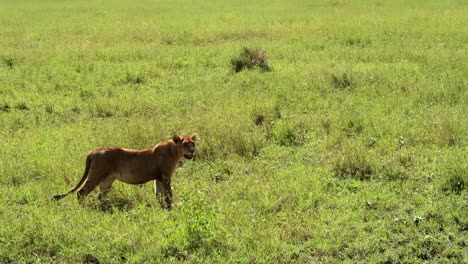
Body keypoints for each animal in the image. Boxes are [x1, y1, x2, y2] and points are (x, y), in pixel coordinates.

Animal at [53, 135, 196, 209]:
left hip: (107, 180)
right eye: (185, 144)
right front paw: (170, 207)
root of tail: (93, 151)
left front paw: (162, 207)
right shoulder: (165, 177)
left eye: (193, 143)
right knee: (81, 192)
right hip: (96, 175)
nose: (193, 150)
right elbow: (168, 194)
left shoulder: (158, 177)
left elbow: (158, 193)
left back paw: (103, 207)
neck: (175, 152)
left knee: (99, 196)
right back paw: (85, 208)